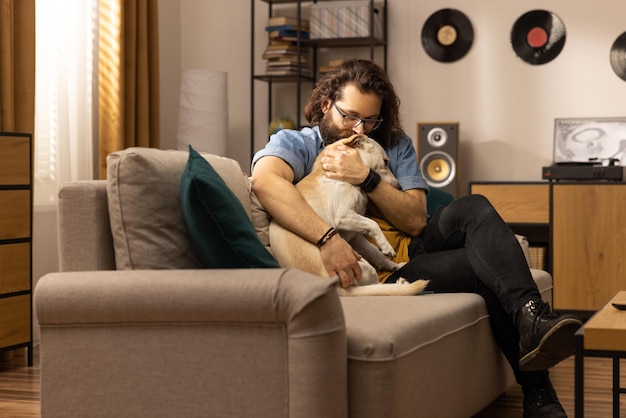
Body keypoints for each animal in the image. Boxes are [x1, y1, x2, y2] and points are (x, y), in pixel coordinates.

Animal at [266, 135, 426, 298]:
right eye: (386, 161)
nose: (400, 187)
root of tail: (336, 289)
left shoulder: (355, 237)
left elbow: (377, 253)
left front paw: (391, 260)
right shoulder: (343, 216)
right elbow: (373, 224)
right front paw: (386, 245)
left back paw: (398, 271)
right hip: (361, 266)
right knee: (375, 285)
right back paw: (398, 285)